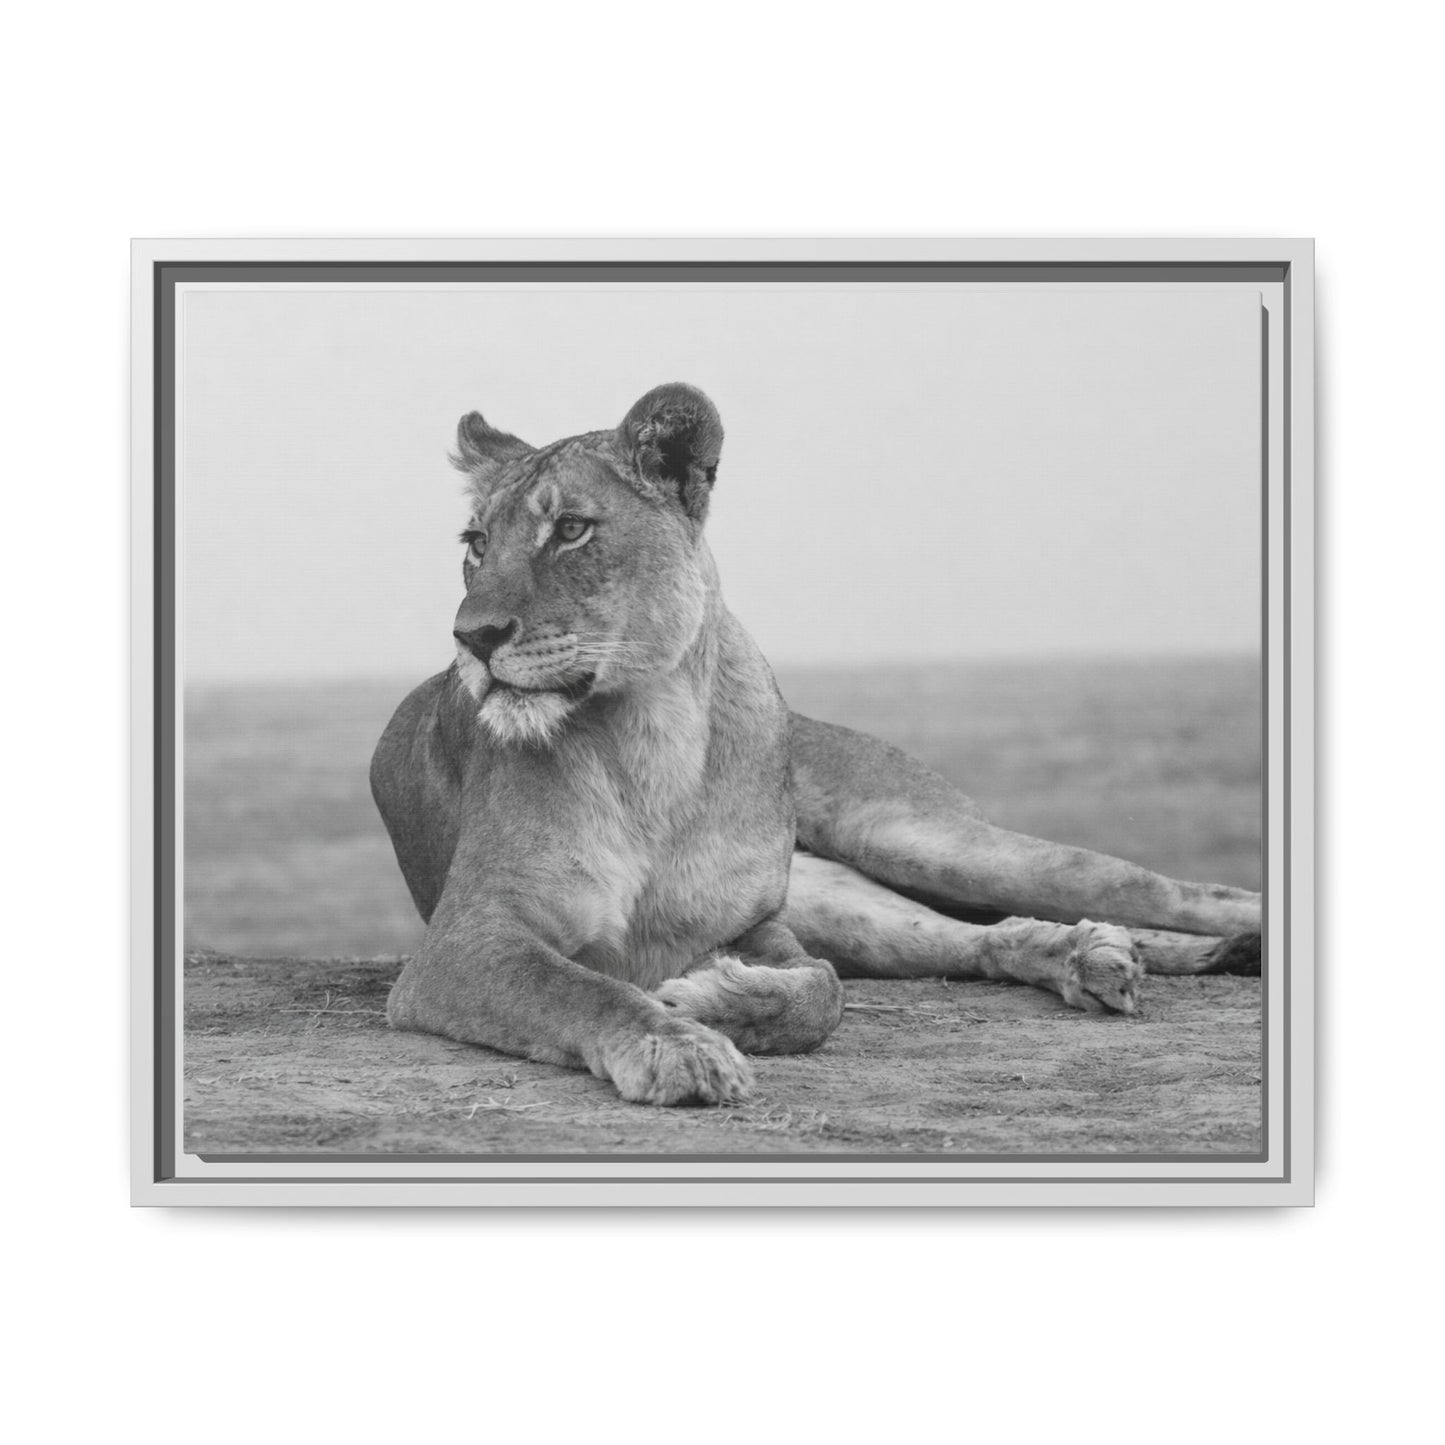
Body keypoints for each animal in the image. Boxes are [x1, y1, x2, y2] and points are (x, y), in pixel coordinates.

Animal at [371, 383, 1262, 1106]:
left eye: (570, 530)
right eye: (476, 543)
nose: (471, 637)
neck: (650, 739)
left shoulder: (759, 924)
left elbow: (820, 994)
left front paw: (705, 1000)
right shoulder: (465, 940)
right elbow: (582, 988)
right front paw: (677, 1044)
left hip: (913, 837)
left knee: (1174, 890)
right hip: (847, 897)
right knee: (977, 937)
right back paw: (1091, 955)